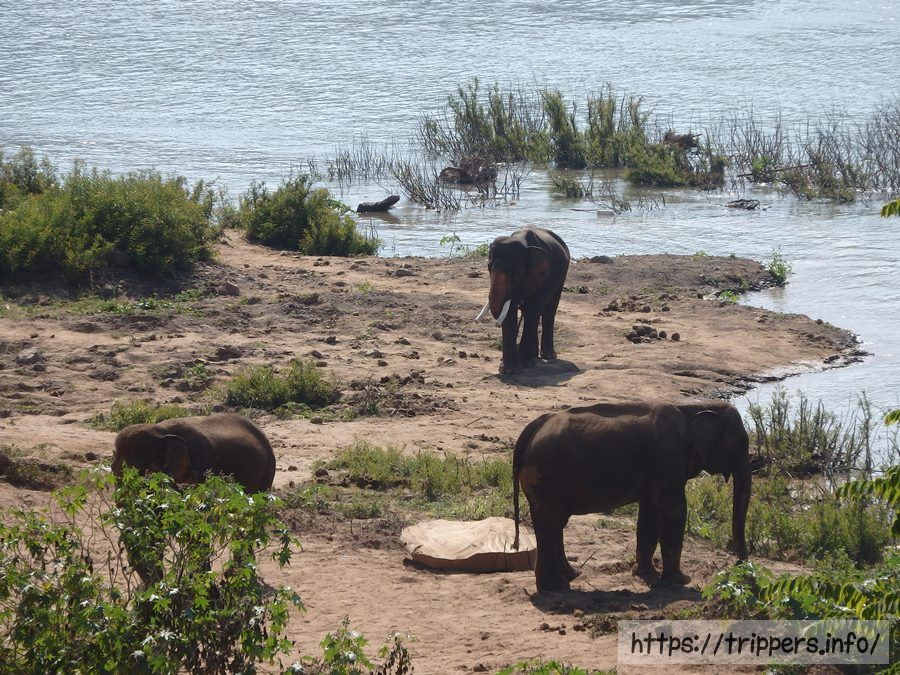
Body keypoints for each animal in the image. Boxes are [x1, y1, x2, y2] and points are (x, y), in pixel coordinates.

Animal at [475, 226, 570, 374]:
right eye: (489, 267)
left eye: (515, 272)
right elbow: (511, 311)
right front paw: (508, 370)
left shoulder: (542, 276)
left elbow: (533, 308)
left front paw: (525, 364)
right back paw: (534, 355)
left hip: (561, 278)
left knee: (549, 309)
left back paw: (547, 356)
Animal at [512, 400, 751, 592]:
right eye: (739, 443)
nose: (741, 567)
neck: (691, 408)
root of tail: (530, 429)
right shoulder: (667, 459)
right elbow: (674, 509)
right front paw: (681, 581)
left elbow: (650, 513)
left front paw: (646, 574)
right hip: (546, 476)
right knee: (550, 523)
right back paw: (555, 587)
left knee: (555, 523)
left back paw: (571, 576)